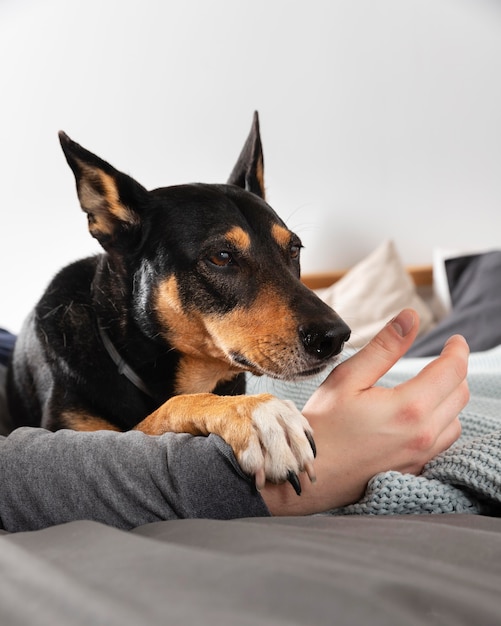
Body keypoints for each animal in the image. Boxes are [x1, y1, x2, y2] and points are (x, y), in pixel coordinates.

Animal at [8, 112, 352, 492]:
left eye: (294, 249)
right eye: (221, 256)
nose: (334, 337)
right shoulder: (72, 436)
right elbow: (171, 407)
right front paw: (258, 413)